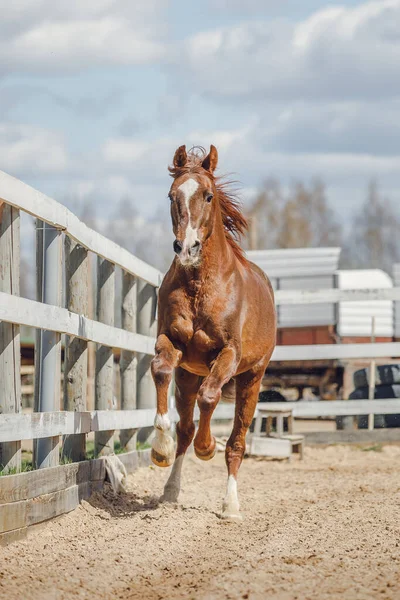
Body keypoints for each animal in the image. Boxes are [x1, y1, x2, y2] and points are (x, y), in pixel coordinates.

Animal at [150, 145, 276, 520]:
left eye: (208, 195)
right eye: (172, 195)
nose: (186, 248)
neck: (200, 285)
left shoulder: (229, 354)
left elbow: (211, 398)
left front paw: (207, 447)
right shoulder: (172, 342)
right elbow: (160, 371)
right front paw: (159, 447)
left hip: (252, 379)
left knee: (236, 442)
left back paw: (230, 505)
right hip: (188, 376)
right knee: (185, 429)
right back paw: (170, 490)